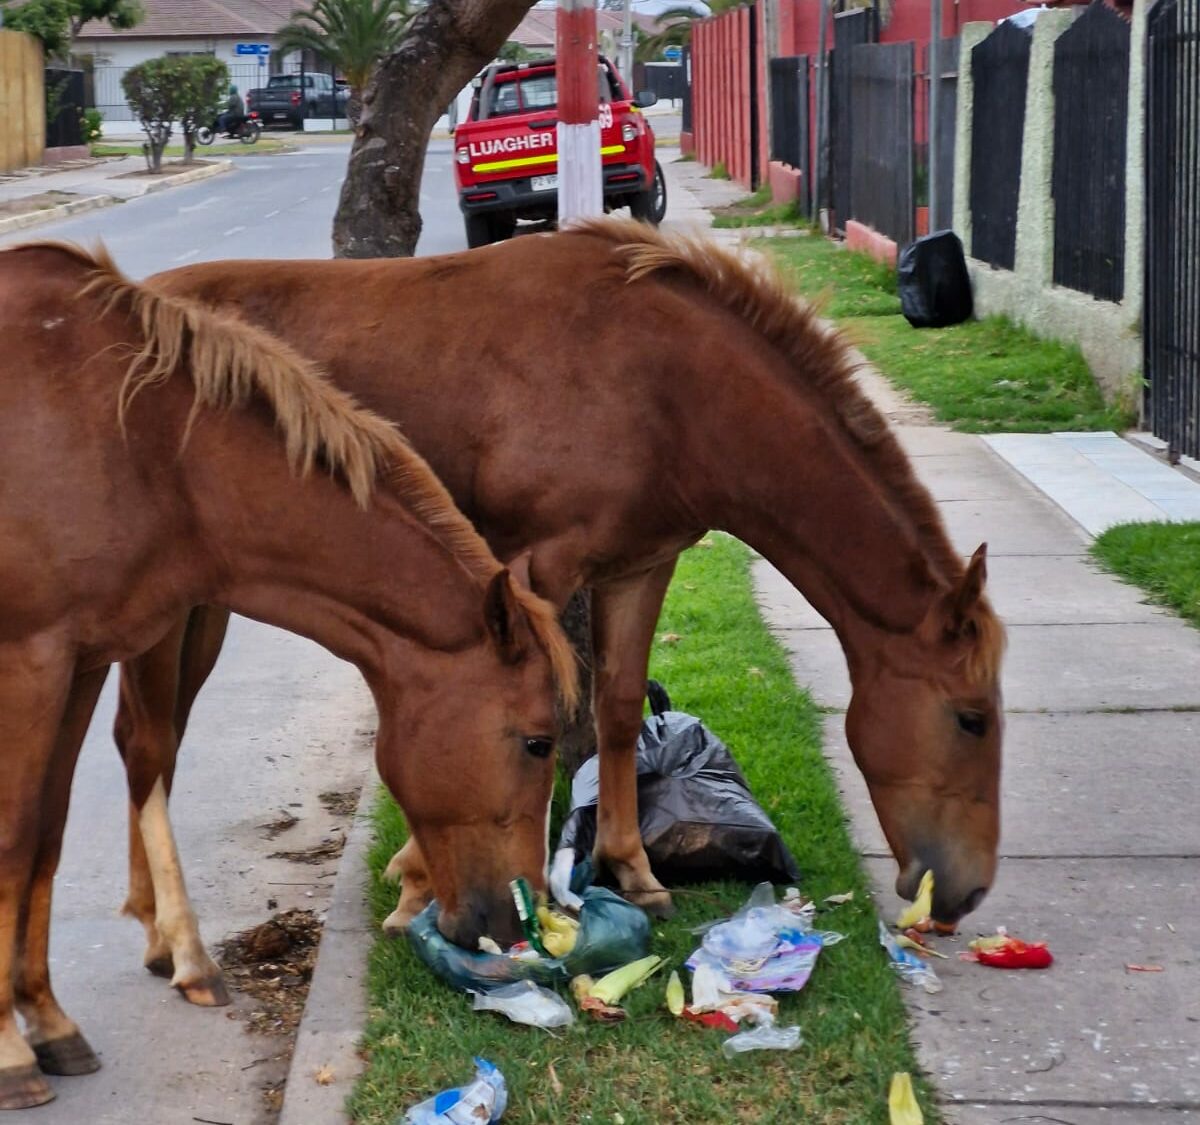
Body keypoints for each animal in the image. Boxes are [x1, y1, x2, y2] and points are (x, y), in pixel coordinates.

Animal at [0, 241, 576, 1108]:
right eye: (537, 741)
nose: (515, 923)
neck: (136, 441)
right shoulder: (29, 660)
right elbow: (10, 840)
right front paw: (11, 1052)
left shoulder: (78, 662)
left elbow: (44, 835)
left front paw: (47, 1020)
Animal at [119, 219, 1003, 993]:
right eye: (971, 719)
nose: (969, 891)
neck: (667, 386)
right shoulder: (534, 569)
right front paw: (427, 887)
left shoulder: (641, 564)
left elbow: (614, 708)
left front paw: (632, 869)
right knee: (146, 739)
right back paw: (166, 936)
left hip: (200, 608)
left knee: (156, 739)